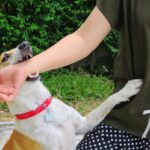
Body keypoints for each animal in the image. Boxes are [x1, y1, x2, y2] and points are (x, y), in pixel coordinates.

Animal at [0, 41, 142, 150]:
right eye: (4, 58)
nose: (25, 44)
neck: (40, 106)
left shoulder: (85, 124)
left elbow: (107, 102)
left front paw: (127, 89)